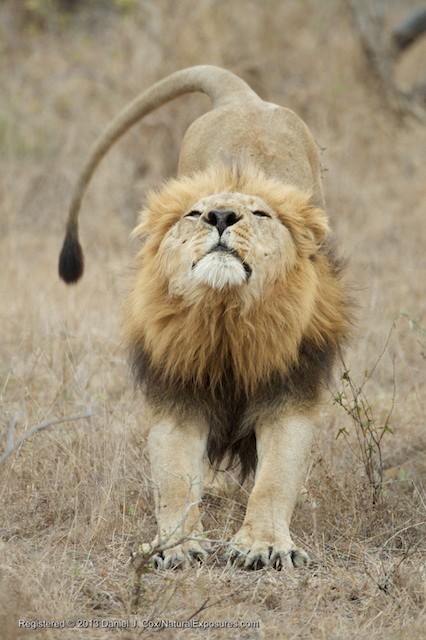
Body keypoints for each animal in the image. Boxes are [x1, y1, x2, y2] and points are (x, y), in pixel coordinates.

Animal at [59, 65, 349, 570]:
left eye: (260, 213)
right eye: (194, 213)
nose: (220, 215)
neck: (225, 315)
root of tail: (245, 98)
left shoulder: (289, 391)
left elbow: (275, 479)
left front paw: (263, 545)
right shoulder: (178, 392)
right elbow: (174, 480)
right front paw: (176, 546)